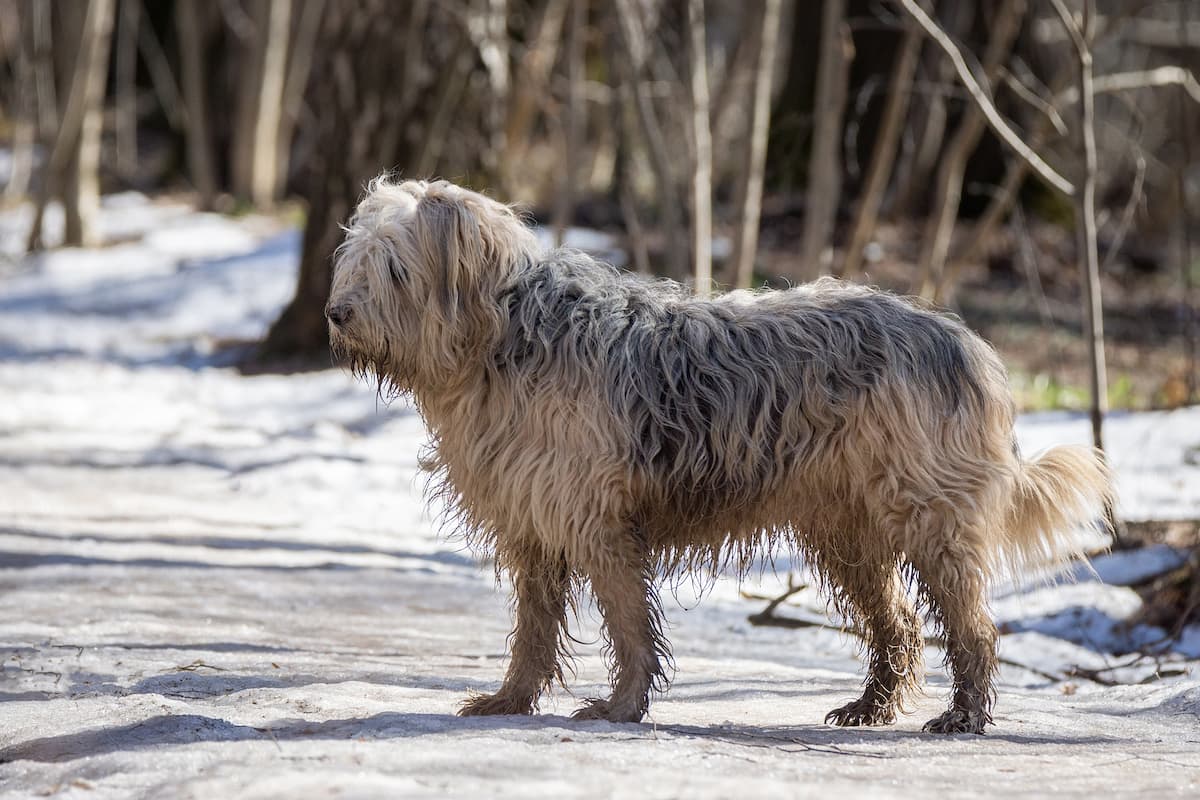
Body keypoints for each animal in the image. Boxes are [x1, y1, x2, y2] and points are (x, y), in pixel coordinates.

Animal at [324, 178, 1108, 734]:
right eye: (353, 261)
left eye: (393, 269)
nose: (335, 314)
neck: (505, 335)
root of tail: (964, 342)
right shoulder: (534, 527)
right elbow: (534, 632)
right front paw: (510, 699)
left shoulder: (599, 525)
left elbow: (628, 626)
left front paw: (621, 708)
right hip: (849, 533)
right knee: (899, 625)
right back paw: (871, 708)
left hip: (929, 519)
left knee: (973, 628)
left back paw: (964, 716)